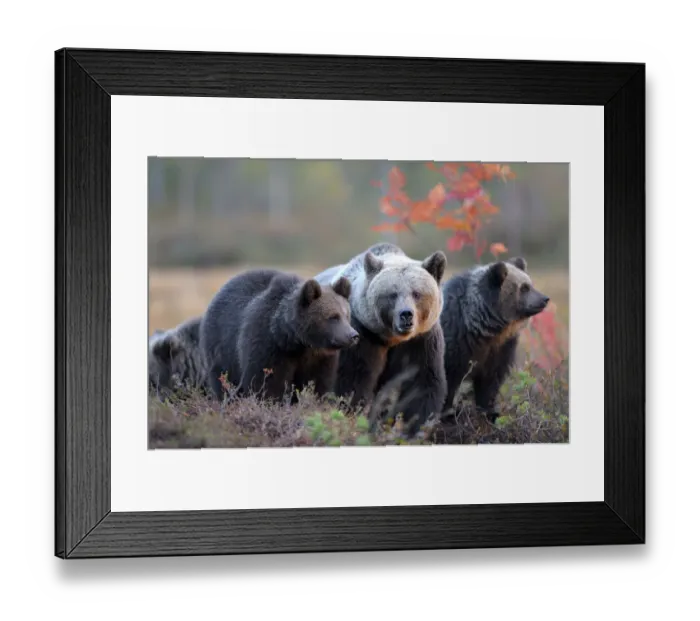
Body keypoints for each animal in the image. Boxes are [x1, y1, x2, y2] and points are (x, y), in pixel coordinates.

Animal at [199, 269, 359, 402]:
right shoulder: (268, 346)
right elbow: (268, 383)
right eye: (333, 317)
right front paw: (271, 402)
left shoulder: (319, 358)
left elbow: (317, 383)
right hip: (222, 346)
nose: (353, 335)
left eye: (347, 315)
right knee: (224, 379)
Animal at [314, 242, 448, 434]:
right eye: (392, 294)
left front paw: (414, 428)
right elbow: (353, 381)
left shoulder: (421, 340)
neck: (392, 338)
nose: (406, 315)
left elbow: (422, 383)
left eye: (417, 293)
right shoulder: (361, 334)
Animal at [440, 256, 550, 423]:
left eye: (530, 284)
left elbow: (490, 381)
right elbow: (447, 379)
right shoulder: (455, 342)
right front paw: (448, 414)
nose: (545, 299)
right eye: (524, 288)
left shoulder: (500, 348)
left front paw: (490, 413)